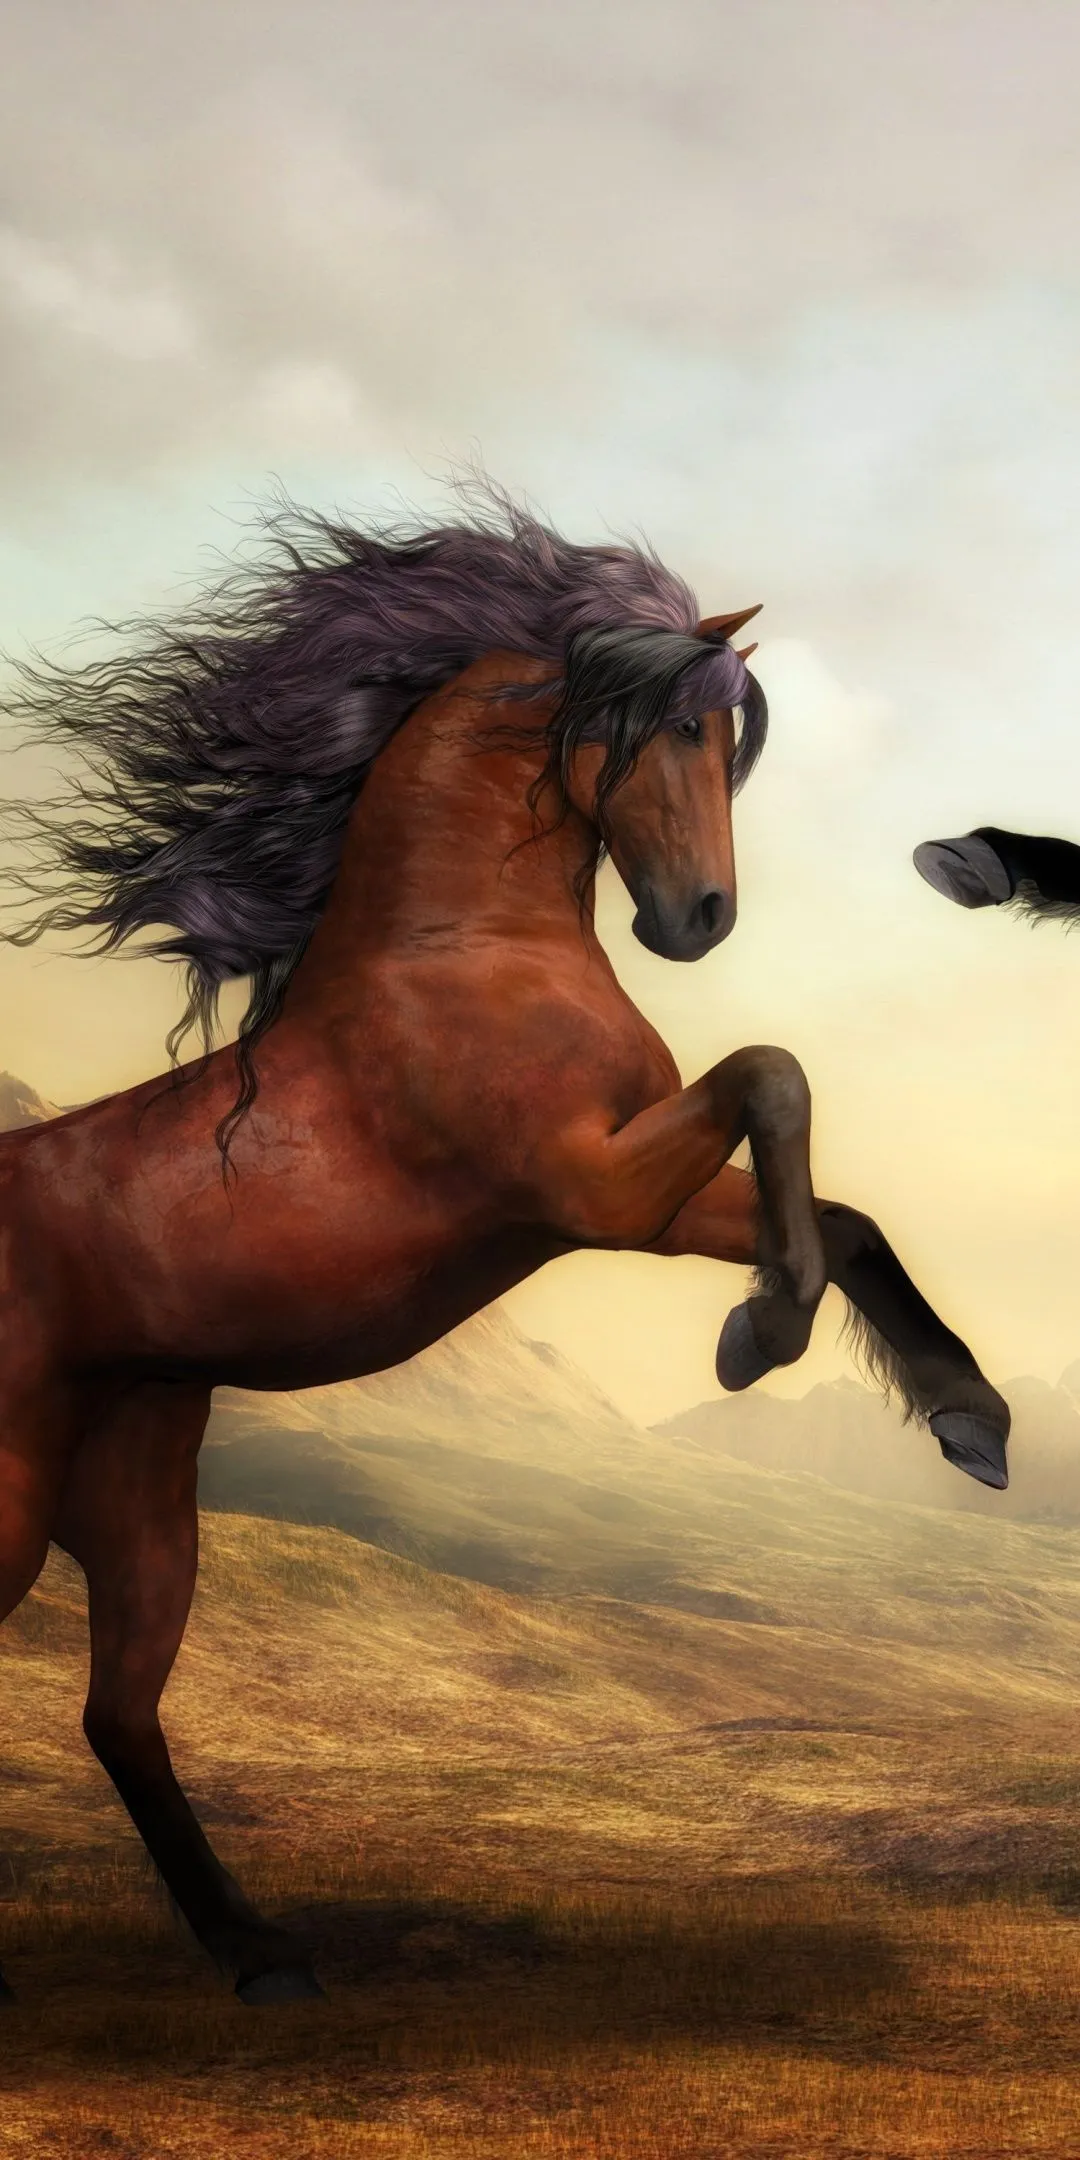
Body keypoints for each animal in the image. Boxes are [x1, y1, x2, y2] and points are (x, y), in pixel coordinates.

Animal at [0, 484, 1011, 2006]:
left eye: (725, 744)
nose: (699, 921)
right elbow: (773, 1079)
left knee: (119, 1716)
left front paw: (960, 1414)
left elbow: (840, 1214)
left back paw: (262, 1955)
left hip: (138, 1493)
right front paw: (762, 1336)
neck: (459, 946)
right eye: (673, 731)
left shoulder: (625, 1198)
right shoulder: (586, 1189)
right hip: (16, 1492)